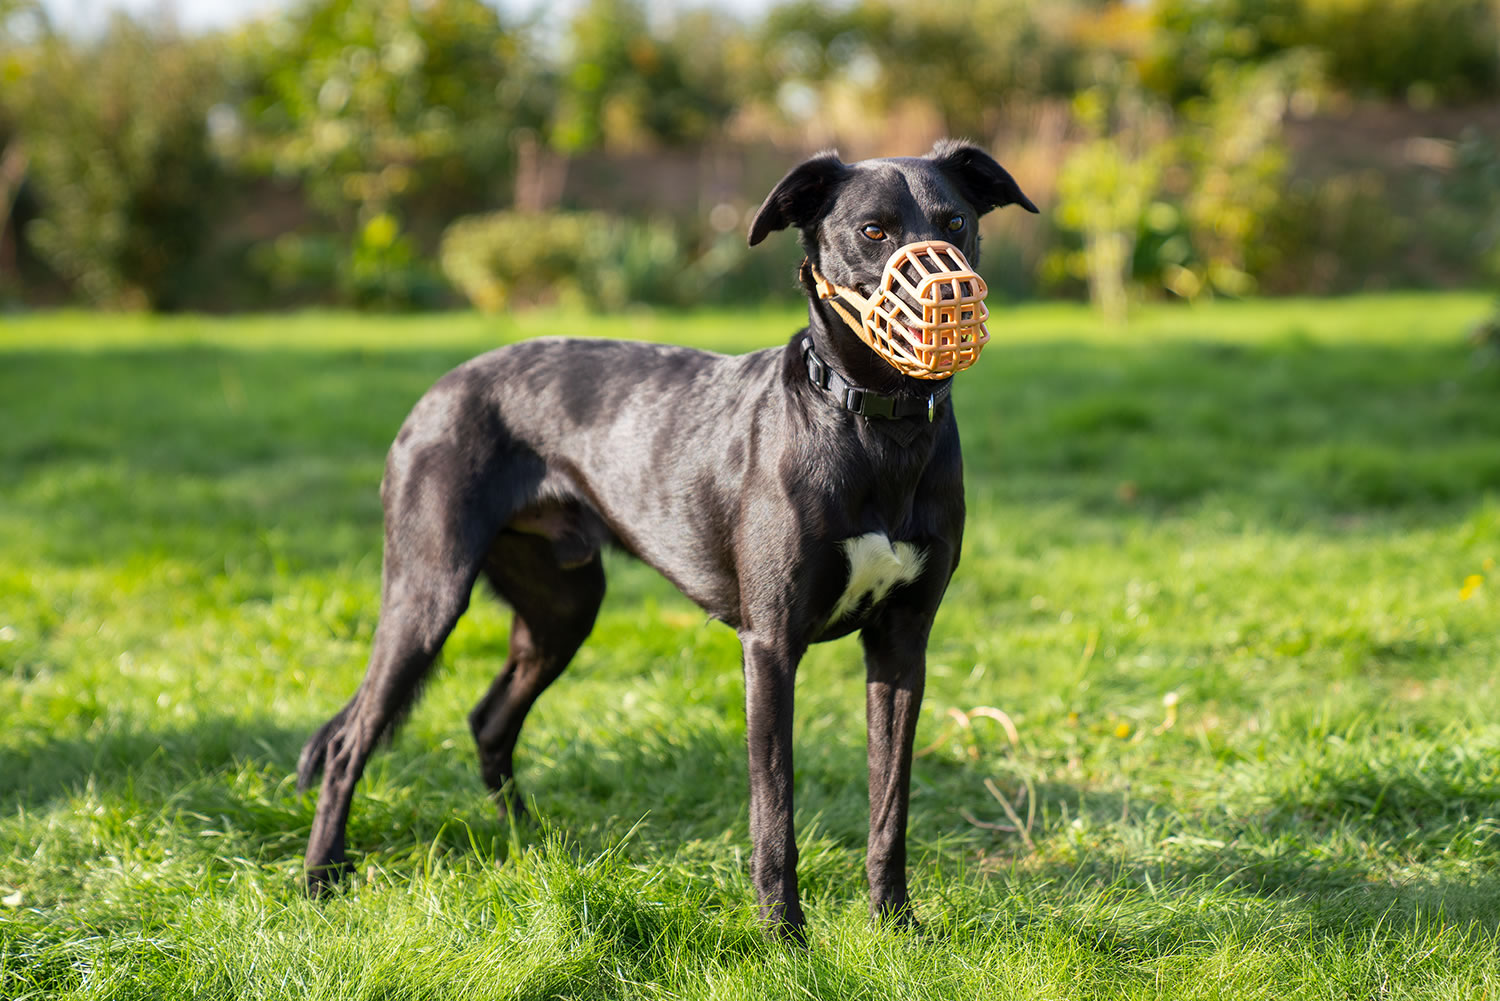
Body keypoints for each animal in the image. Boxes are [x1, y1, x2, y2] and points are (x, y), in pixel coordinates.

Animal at [298, 137, 1038, 936]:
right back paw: (320, 877)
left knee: (489, 719)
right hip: (427, 595)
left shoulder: (903, 644)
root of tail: (440, 388)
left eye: (956, 221)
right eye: (873, 231)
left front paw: (894, 926)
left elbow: (890, 806)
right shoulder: (771, 647)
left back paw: (531, 843)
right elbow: (774, 812)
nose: (952, 293)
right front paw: (784, 935)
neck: (874, 425)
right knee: (347, 744)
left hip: (563, 609)